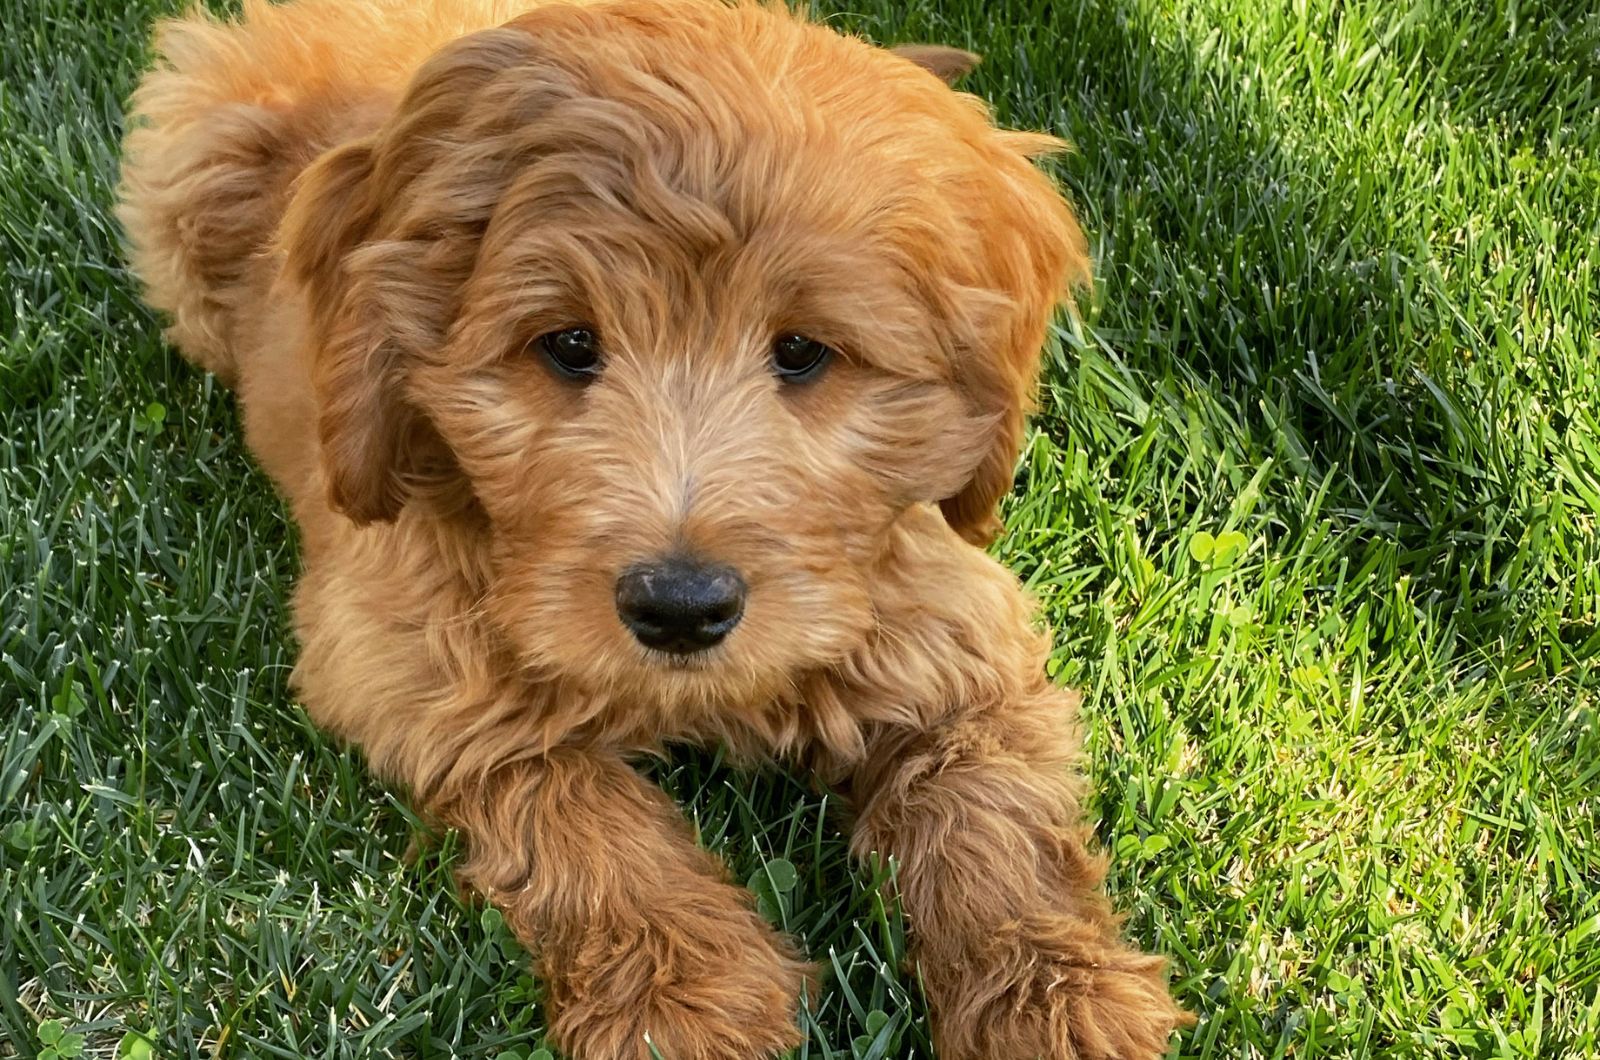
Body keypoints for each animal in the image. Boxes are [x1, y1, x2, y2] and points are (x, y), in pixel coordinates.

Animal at [116, 4, 1190, 1056]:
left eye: (803, 352)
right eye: (568, 344)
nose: (680, 609)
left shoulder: (949, 618)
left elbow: (990, 807)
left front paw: (1057, 995)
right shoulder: (403, 648)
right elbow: (567, 803)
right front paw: (684, 996)